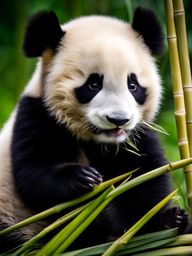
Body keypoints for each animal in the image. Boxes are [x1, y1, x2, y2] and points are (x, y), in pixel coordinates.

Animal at [0, 7, 190, 252]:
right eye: (93, 84)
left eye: (133, 85)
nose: (118, 120)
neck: (100, 141)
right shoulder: (37, 115)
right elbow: (33, 176)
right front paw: (82, 178)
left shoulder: (137, 135)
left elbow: (145, 182)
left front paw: (168, 220)